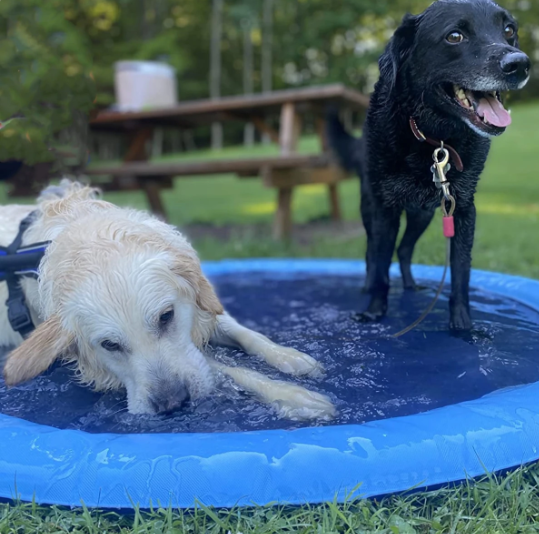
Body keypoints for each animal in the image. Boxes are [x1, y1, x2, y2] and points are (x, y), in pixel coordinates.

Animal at [0, 182, 336, 420]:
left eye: (166, 316)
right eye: (109, 345)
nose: (172, 403)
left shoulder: (201, 307)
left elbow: (247, 334)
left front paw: (290, 358)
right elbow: (228, 369)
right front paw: (293, 396)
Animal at [330, 0, 532, 330]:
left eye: (508, 30)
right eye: (454, 36)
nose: (520, 64)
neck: (434, 137)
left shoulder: (463, 208)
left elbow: (461, 272)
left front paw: (463, 326)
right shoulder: (384, 209)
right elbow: (381, 263)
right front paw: (375, 311)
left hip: (422, 214)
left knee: (404, 248)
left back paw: (411, 285)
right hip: (370, 207)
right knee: (372, 253)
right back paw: (369, 287)